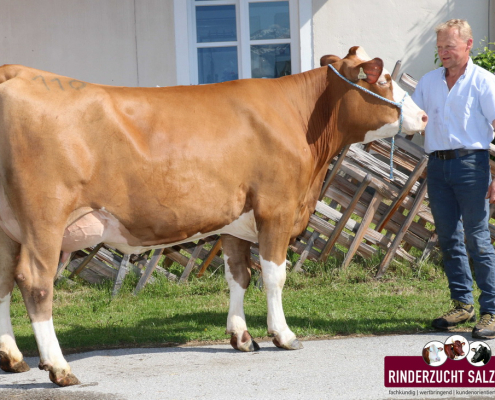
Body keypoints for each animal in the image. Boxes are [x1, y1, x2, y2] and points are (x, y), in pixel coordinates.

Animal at [0, 45, 428, 386]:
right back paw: (58, 367)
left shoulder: (236, 219)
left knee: (4, 279)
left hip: (8, 230)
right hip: (45, 220)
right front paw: (283, 335)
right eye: (382, 78)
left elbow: (239, 275)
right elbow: (274, 276)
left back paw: (14, 359)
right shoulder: (276, 208)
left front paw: (241, 337)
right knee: (35, 282)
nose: (423, 117)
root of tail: (16, 72)